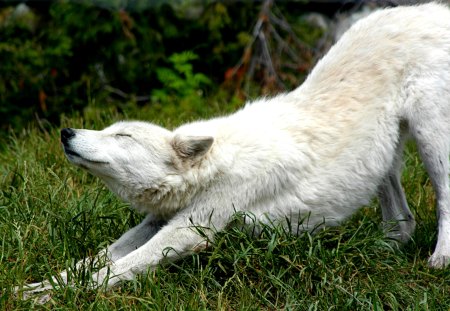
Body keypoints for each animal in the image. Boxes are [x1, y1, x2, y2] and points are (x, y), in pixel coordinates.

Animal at [19, 1, 448, 296]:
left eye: (123, 137)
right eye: (108, 129)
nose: (66, 132)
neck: (214, 167)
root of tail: (431, 10)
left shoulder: (188, 232)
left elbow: (118, 267)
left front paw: (60, 296)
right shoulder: (158, 221)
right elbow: (97, 258)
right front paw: (36, 287)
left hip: (432, 140)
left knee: (443, 200)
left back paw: (439, 260)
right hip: (382, 159)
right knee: (403, 221)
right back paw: (375, 252)